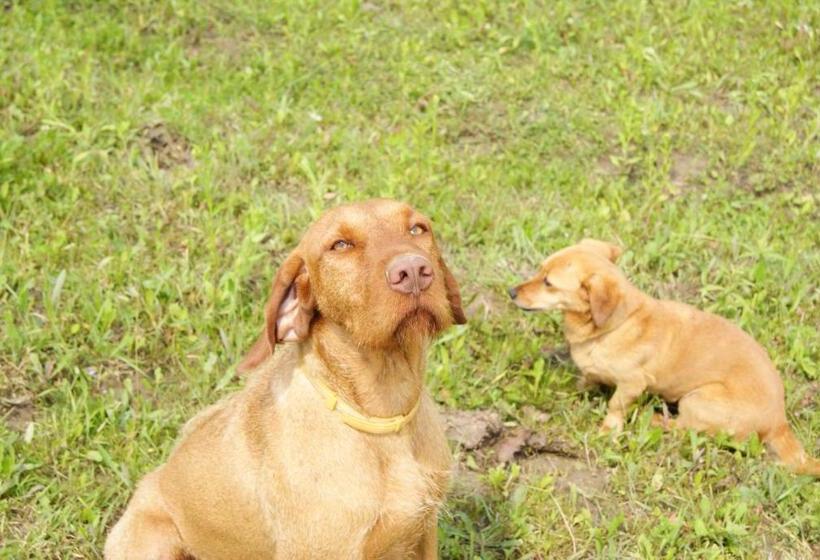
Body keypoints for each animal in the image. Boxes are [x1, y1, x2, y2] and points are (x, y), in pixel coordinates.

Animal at [509, 239, 819, 475]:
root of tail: (779, 421)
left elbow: (615, 406)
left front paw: (607, 431)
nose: (511, 291)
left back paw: (657, 419)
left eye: (548, 283)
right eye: (539, 271)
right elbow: (585, 380)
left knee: (688, 428)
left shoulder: (633, 383)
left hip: (698, 399)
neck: (614, 325)